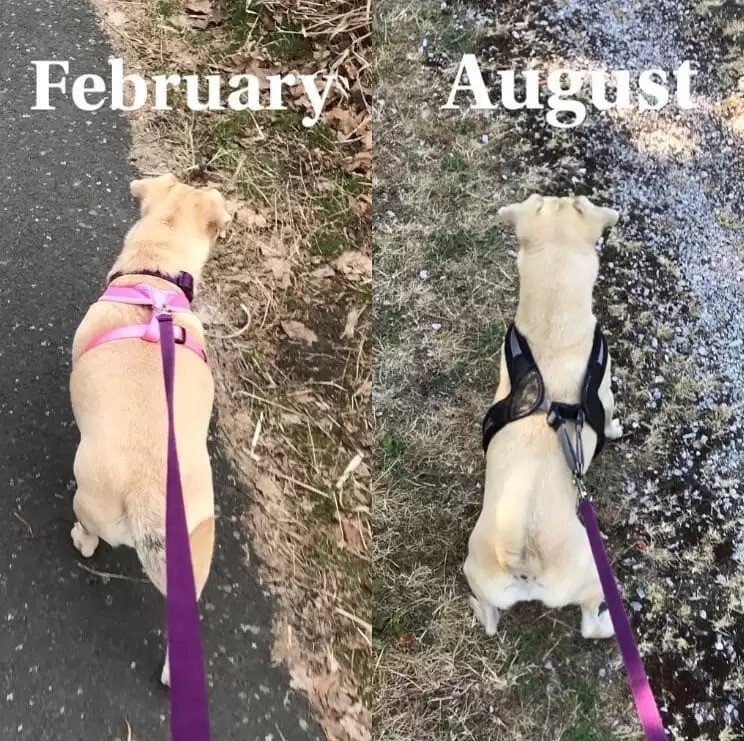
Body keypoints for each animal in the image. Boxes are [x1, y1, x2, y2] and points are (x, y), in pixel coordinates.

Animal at [70, 172, 232, 684]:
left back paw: (80, 539)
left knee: (88, 531)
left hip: (90, 498)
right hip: (198, 543)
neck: (154, 277)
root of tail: (149, 495)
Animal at [464, 194, 620, 640]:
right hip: (591, 575)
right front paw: (616, 430)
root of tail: (522, 557)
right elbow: (612, 416)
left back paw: (477, 609)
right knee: (588, 623)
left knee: (490, 621)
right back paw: (606, 624)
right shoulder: (606, 391)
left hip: (477, 572)